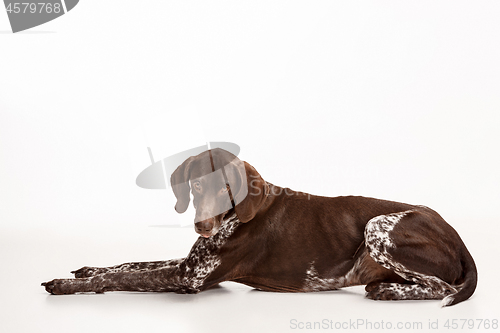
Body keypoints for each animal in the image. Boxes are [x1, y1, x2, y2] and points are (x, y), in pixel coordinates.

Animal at [42, 148, 476, 306]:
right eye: (196, 186)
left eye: (227, 188)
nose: (202, 226)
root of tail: (459, 238)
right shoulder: (188, 264)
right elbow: (130, 265)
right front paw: (86, 269)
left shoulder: (190, 277)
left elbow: (126, 277)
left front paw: (65, 285)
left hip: (377, 225)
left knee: (443, 287)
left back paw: (388, 290)